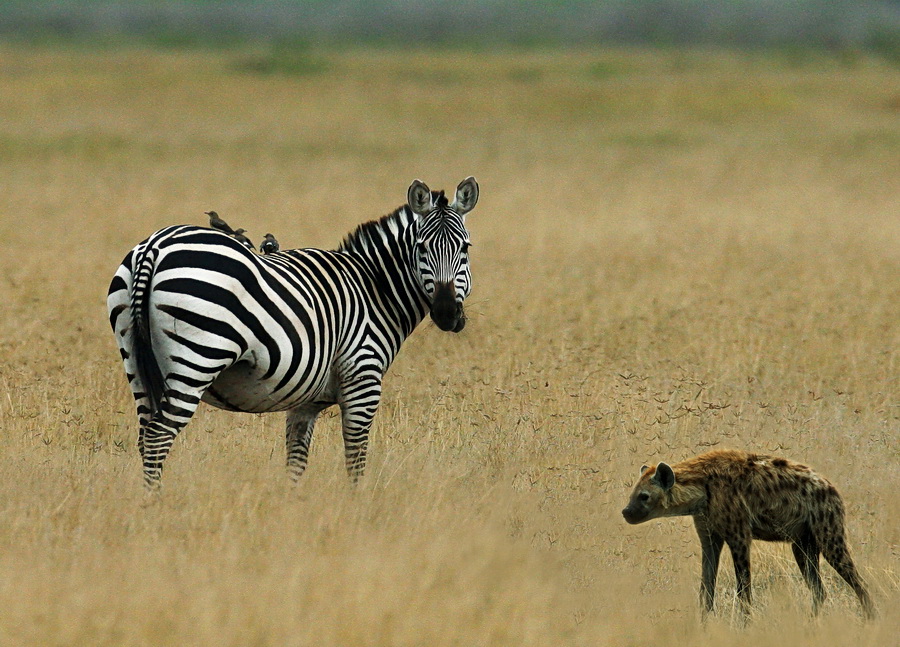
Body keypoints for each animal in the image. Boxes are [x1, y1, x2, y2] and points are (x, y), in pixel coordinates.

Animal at [107, 177, 478, 486]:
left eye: (465, 248)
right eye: (421, 248)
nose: (447, 313)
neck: (373, 287)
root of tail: (155, 246)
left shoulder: (306, 402)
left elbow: (296, 461)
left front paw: (292, 507)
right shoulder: (363, 378)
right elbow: (355, 458)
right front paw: (357, 507)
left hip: (135, 360)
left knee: (144, 435)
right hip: (198, 357)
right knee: (158, 437)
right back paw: (154, 505)